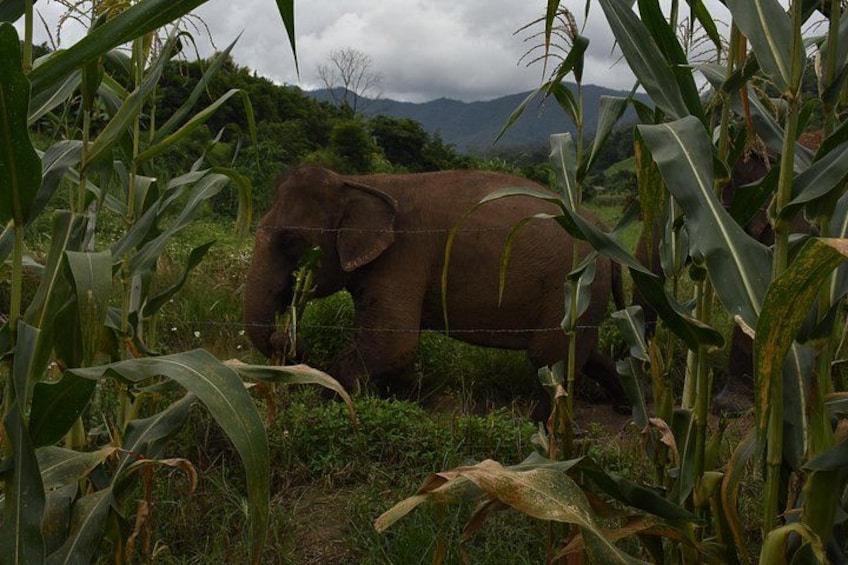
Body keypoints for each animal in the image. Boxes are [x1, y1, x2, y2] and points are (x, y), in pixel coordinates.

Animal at [244, 166, 627, 413]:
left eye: (290, 241)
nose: (290, 341)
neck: (357, 182)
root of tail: (603, 231)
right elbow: (392, 347)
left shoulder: (403, 255)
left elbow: (394, 341)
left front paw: (330, 397)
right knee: (583, 354)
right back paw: (621, 406)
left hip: (573, 289)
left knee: (551, 359)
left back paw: (544, 425)